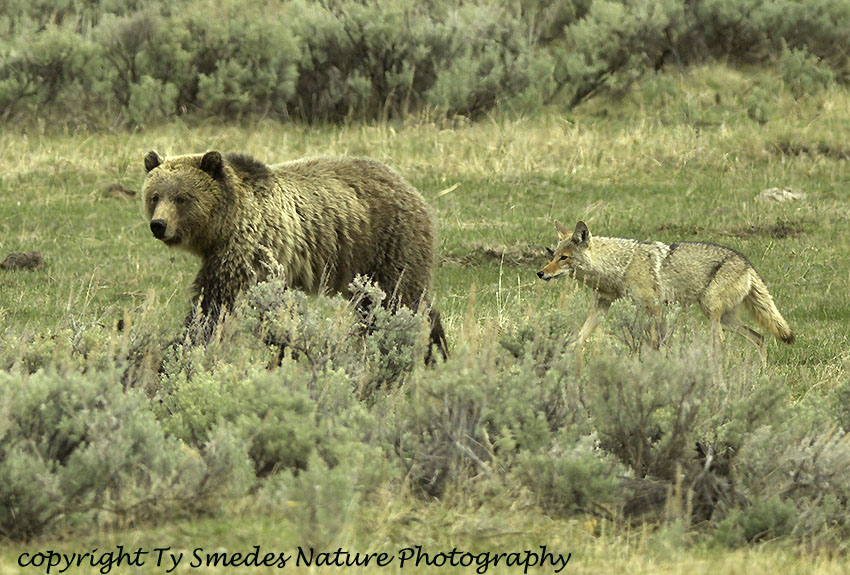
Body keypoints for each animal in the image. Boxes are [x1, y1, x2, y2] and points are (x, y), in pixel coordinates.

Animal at [141, 150, 446, 360]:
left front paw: (180, 348)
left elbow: (215, 303)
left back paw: (431, 349)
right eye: (154, 196)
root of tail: (408, 185)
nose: (159, 225)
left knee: (399, 298)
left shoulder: (247, 248)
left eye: (182, 197)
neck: (223, 224)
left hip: (388, 241)